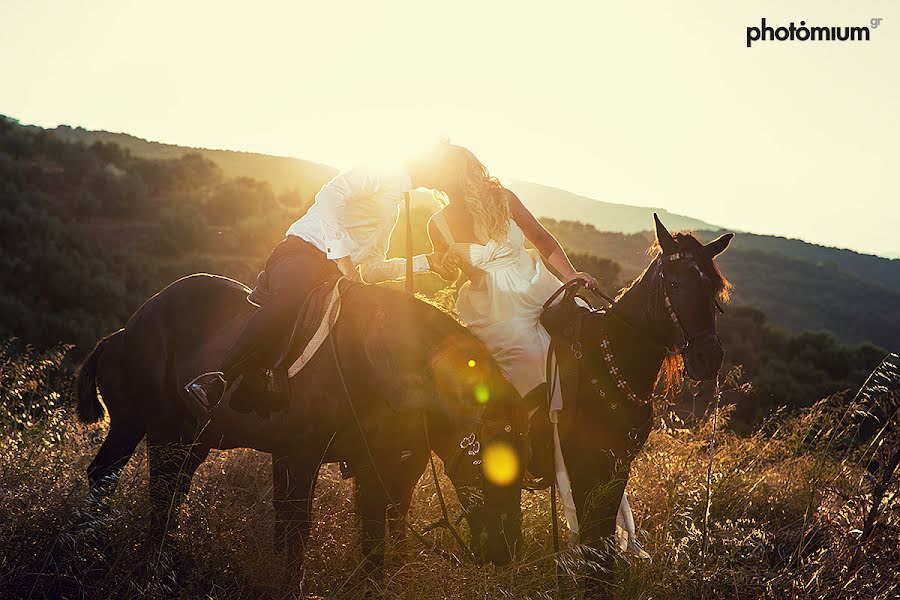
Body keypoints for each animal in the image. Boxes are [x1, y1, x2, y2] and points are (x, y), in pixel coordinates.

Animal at [532, 214, 736, 596]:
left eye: (715, 291)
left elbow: (604, 542)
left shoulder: (618, 466)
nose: (709, 358)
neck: (609, 361)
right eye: (674, 283)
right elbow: (594, 540)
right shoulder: (581, 465)